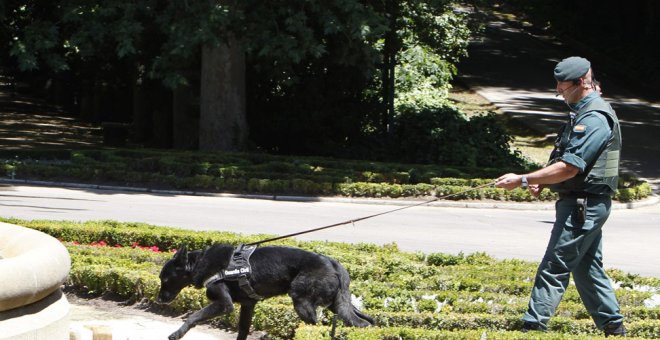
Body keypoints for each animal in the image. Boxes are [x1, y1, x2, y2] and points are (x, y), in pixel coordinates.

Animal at [155, 244, 372, 340]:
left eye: (164, 280)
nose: (158, 300)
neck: (199, 263)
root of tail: (334, 263)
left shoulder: (224, 304)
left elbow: (193, 316)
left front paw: (177, 334)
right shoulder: (248, 305)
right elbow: (243, 330)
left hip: (302, 303)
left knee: (316, 326)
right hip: (338, 305)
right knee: (364, 322)